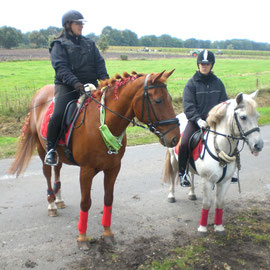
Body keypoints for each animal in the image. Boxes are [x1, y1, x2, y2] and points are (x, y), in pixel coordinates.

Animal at [8, 69, 179, 249]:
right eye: (158, 100)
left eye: (169, 98)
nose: (175, 138)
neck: (102, 123)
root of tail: (39, 93)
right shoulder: (86, 170)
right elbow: (85, 202)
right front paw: (82, 238)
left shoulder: (113, 168)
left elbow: (108, 199)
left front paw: (107, 233)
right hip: (42, 150)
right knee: (47, 173)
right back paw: (52, 204)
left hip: (59, 156)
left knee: (57, 170)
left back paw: (59, 199)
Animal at [162, 90, 264, 234]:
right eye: (243, 117)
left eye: (257, 116)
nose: (258, 145)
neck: (220, 147)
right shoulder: (207, 181)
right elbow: (207, 203)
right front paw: (202, 228)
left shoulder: (225, 181)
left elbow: (219, 203)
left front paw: (219, 227)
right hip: (173, 160)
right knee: (173, 176)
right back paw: (171, 195)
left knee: (191, 174)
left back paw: (192, 193)